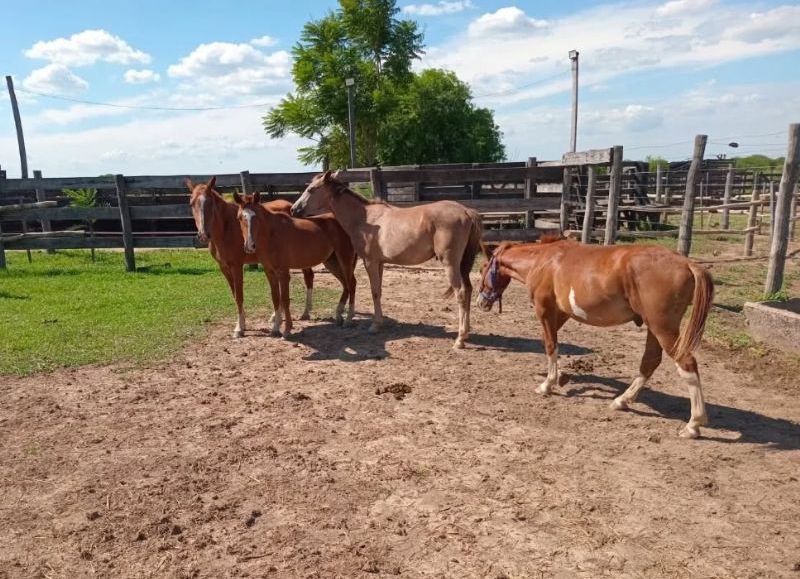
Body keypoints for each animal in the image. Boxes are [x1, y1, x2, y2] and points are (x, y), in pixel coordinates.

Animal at [187, 176, 316, 338]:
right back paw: (276, 317)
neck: (225, 228)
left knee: (308, 277)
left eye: (210, 202)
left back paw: (305, 313)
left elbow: (239, 295)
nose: (203, 234)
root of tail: (292, 206)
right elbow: (235, 295)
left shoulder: (237, 266)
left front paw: (239, 328)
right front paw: (242, 324)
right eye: (191, 203)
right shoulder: (224, 268)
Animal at [234, 191, 358, 338]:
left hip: (345, 259)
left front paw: (287, 329)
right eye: (239, 217)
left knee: (352, 284)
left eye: (256, 216)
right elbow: (275, 298)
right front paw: (275, 328)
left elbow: (285, 299)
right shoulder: (269, 271)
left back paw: (349, 319)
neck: (272, 234)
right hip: (331, 262)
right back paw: (339, 315)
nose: (249, 246)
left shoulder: (283, 272)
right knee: (346, 285)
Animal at [291, 171, 483, 349]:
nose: (294, 209)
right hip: (462, 265)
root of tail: (466, 211)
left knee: (461, 293)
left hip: (450, 263)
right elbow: (379, 291)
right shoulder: (380, 263)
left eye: (311, 189)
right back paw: (466, 332)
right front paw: (379, 322)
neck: (365, 219)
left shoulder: (370, 262)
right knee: (469, 290)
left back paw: (459, 339)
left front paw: (375, 326)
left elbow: (374, 291)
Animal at [476, 236, 714, 439]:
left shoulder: (545, 311)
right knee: (650, 361)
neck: (543, 260)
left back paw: (693, 424)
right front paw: (561, 376)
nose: (481, 302)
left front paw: (547, 384)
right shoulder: (561, 312)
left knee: (686, 363)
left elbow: (551, 345)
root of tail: (687, 263)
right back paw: (622, 401)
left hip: (662, 328)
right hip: (654, 329)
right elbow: (552, 342)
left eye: (481, 269)